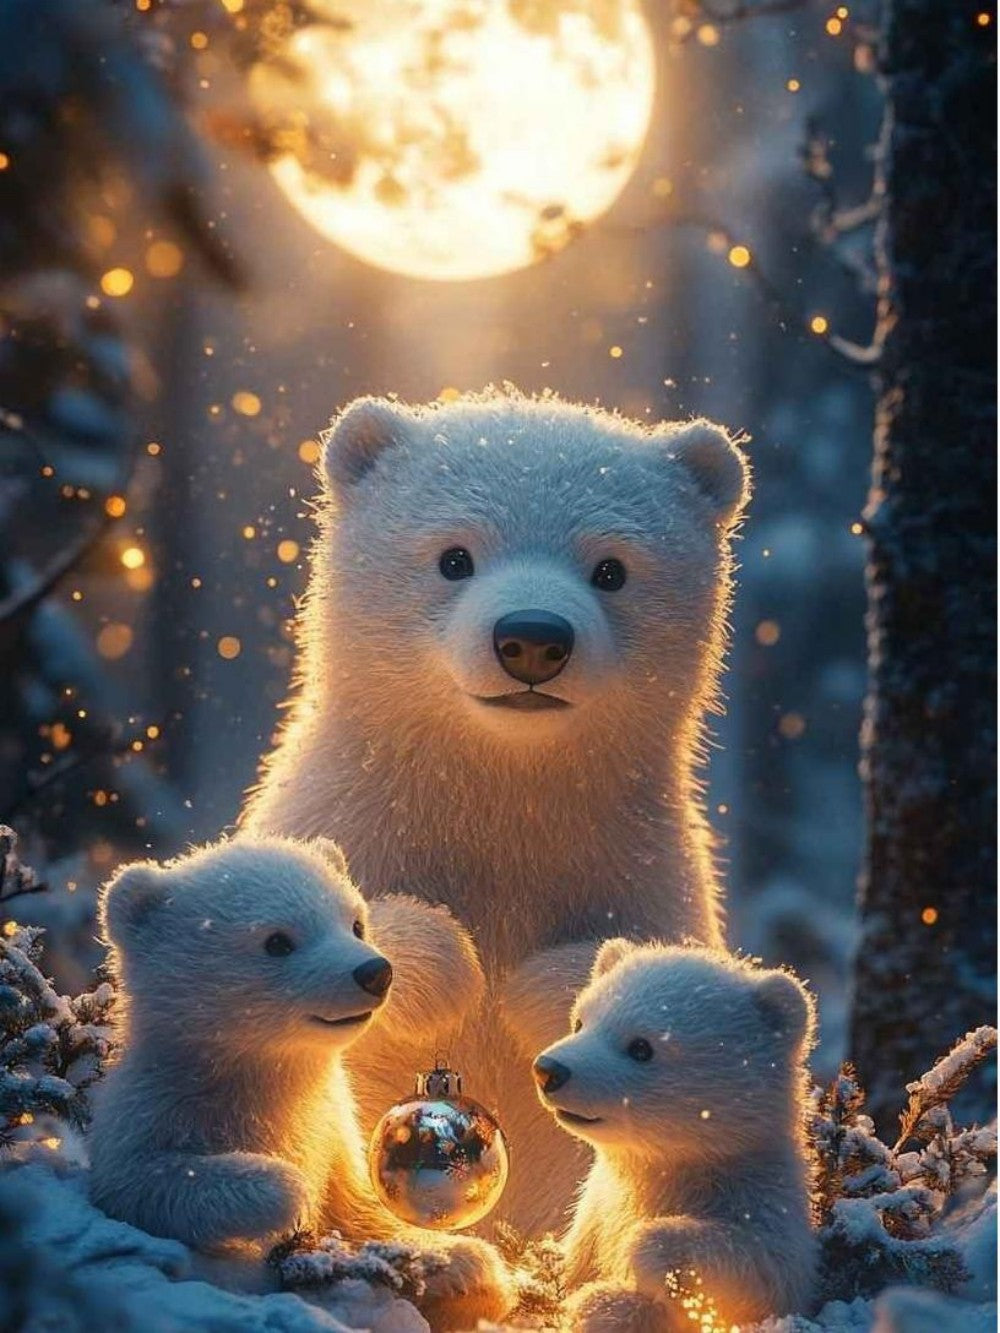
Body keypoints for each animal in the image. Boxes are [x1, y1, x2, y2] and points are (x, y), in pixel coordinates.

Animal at [87, 837, 513, 1330]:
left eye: (355, 923)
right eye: (277, 941)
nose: (375, 972)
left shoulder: (332, 1132)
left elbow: (358, 1207)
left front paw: (465, 1262)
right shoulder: (150, 1114)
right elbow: (146, 1185)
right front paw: (284, 1186)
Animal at [241, 387, 751, 1234]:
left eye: (611, 566)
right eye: (454, 556)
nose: (532, 638)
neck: (501, 789)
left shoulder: (638, 862)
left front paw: (534, 987)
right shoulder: (350, 811)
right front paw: (454, 968)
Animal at [532, 938, 818, 1331]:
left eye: (642, 1047)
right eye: (580, 1021)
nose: (549, 1070)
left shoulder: (763, 1201)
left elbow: (763, 1270)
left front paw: (644, 1258)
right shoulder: (594, 1216)